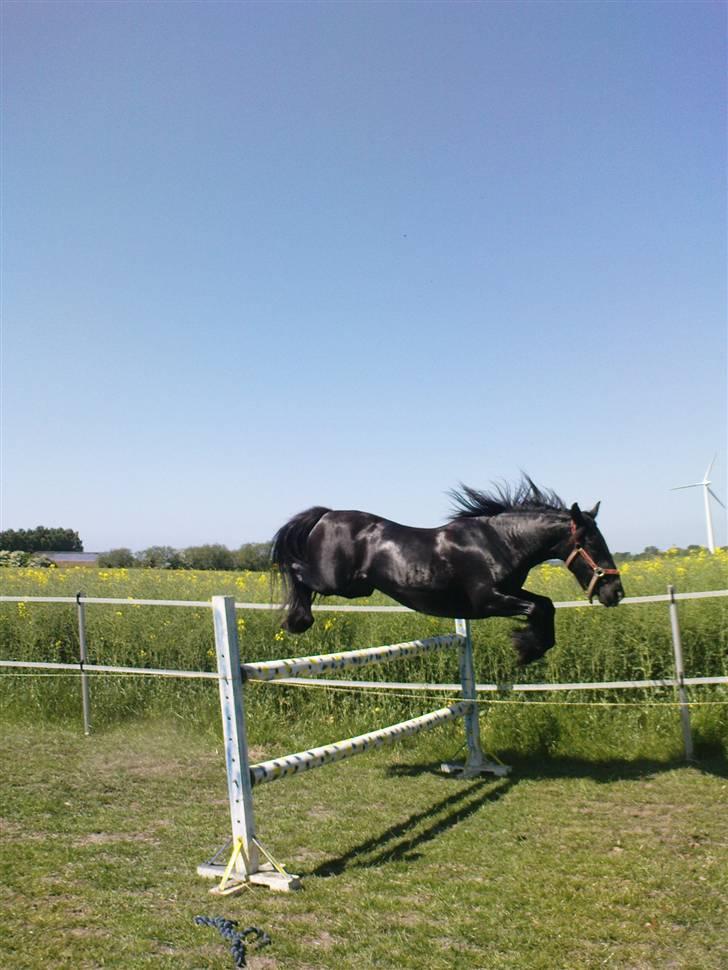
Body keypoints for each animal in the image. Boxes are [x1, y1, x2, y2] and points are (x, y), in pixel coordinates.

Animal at [270, 478, 624, 665]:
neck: (499, 541)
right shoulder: (487, 600)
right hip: (335, 582)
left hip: (356, 588)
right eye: (591, 544)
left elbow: (545, 605)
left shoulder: (510, 591)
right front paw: (526, 649)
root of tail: (326, 516)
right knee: (296, 571)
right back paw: (297, 621)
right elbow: (538, 607)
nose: (615, 593)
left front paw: (530, 647)